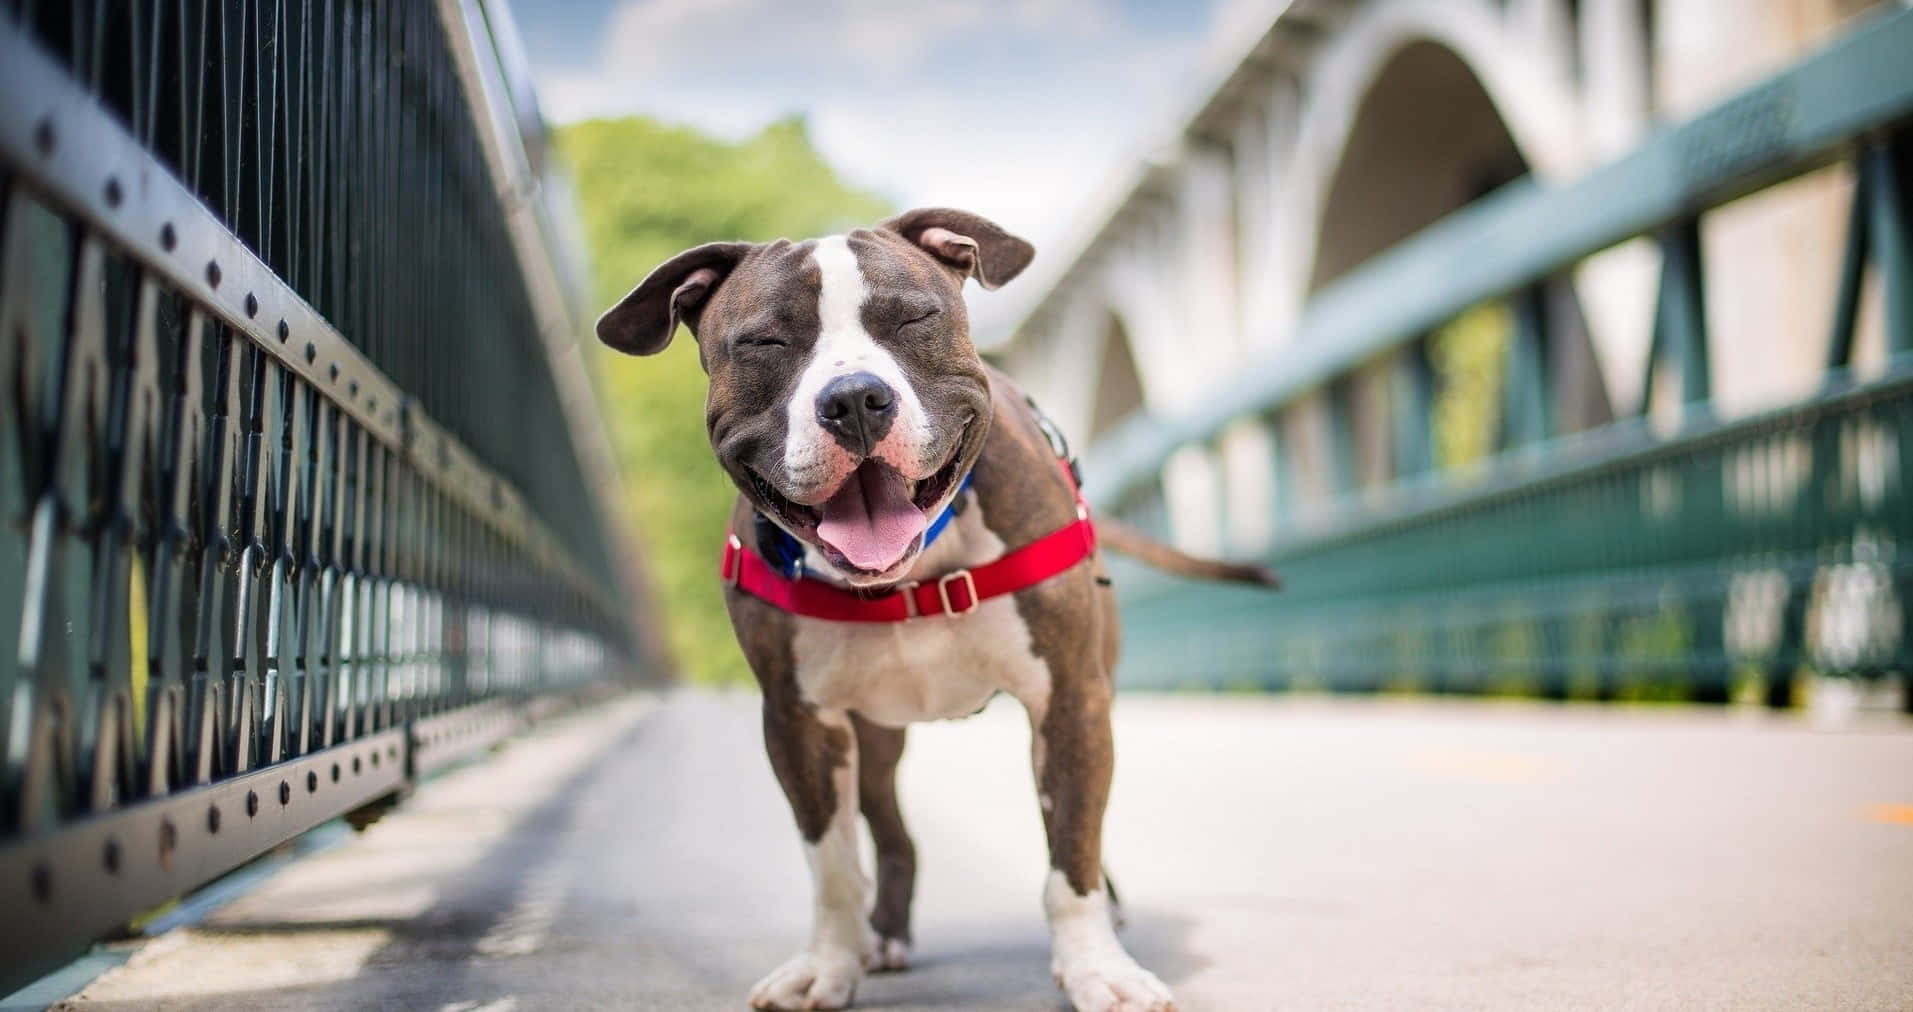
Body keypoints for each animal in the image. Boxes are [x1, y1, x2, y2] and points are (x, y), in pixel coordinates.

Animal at [593, 209, 1270, 1002]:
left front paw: (1096, 970)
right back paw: (881, 936)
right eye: (765, 342)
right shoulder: (797, 722)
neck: (911, 575)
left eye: (914, 318)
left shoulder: (1071, 696)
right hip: (873, 737)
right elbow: (831, 867)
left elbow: (1071, 851)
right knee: (890, 834)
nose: (854, 399)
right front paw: (829, 964)